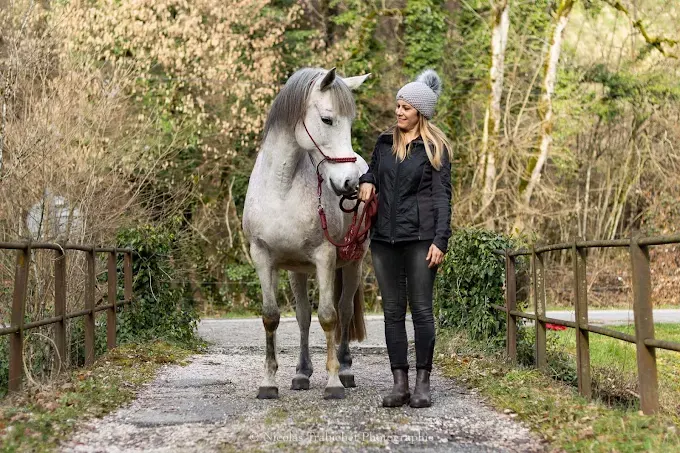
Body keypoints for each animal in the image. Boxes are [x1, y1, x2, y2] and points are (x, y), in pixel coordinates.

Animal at [242, 67, 371, 400]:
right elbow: (272, 316)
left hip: (353, 263)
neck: (282, 187)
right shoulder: (263, 257)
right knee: (302, 317)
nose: (350, 183)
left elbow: (328, 316)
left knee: (344, 311)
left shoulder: (325, 257)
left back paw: (346, 369)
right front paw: (269, 381)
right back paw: (302, 373)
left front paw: (333, 382)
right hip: (297, 271)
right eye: (327, 119)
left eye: (350, 122)